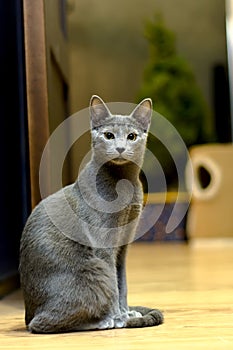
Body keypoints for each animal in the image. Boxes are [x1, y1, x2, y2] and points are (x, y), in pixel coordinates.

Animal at [19, 95, 163, 334]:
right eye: (109, 135)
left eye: (132, 136)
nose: (120, 147)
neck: (124, 183)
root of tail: (27, 312)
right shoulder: (104, 246)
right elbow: (114, 285)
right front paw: (118, 316)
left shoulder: (122, 248)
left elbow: (122, 282)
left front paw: (125, 312)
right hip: (94, 270)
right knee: (42, 324)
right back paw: (105, 321)